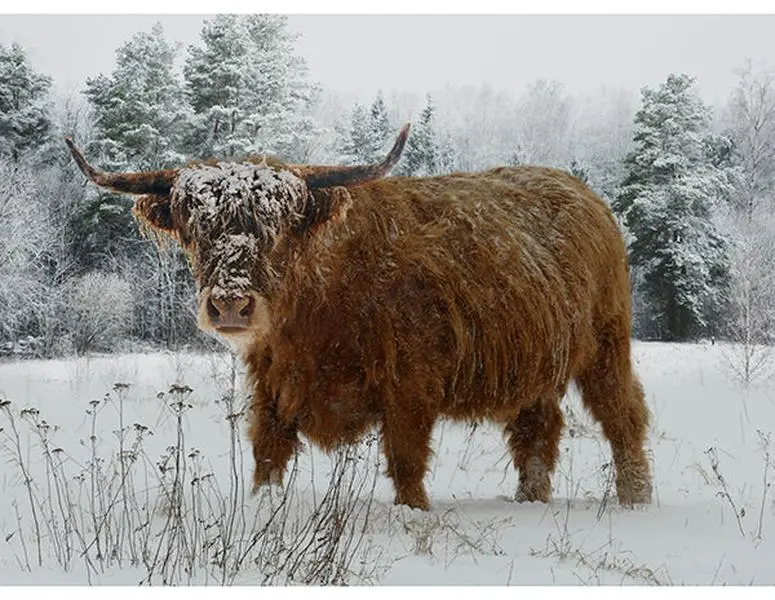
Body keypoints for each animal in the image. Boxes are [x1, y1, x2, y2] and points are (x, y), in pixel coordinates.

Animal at [65, 125, 652, 511]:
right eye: (195, 227)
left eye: (278, 227)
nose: (230, 303)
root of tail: (586, 195)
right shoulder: (273, 384)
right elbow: (267, 455)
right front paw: (262, 509)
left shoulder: (411, 384)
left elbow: (407, 462)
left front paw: (415, 516)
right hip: (533, 361)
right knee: (537, 429)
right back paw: (530, 500)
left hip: (607, 346)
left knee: (622, 416)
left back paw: (635, 499)